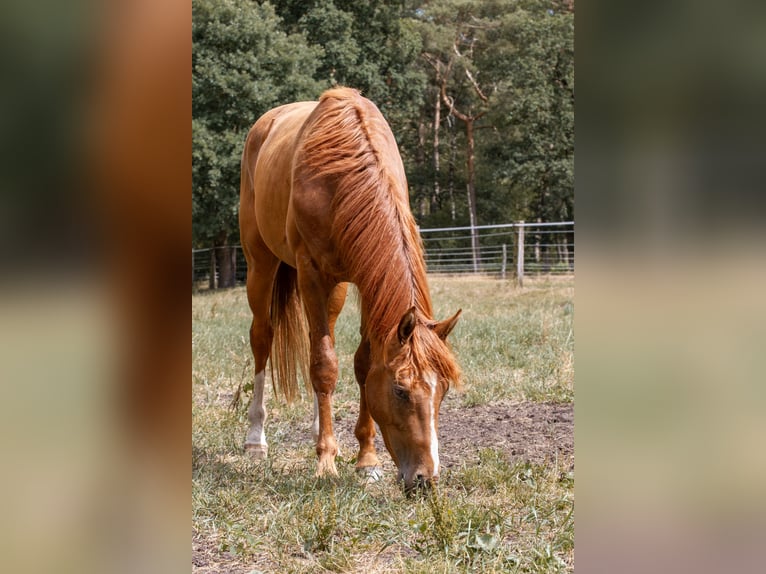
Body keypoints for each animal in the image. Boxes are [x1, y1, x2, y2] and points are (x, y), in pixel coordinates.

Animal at [238, 86, 462, 496]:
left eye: (443, 391)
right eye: (400, 391)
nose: (425, 479)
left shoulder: (363, 279)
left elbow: (360, 362)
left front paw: (366, 460)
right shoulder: (311, 272)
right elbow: (325, 365)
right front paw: (326, 461)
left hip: (336, 289)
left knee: (317, 336)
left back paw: (317, 428)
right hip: (260, 265)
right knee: (263, 338)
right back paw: (255, 440)